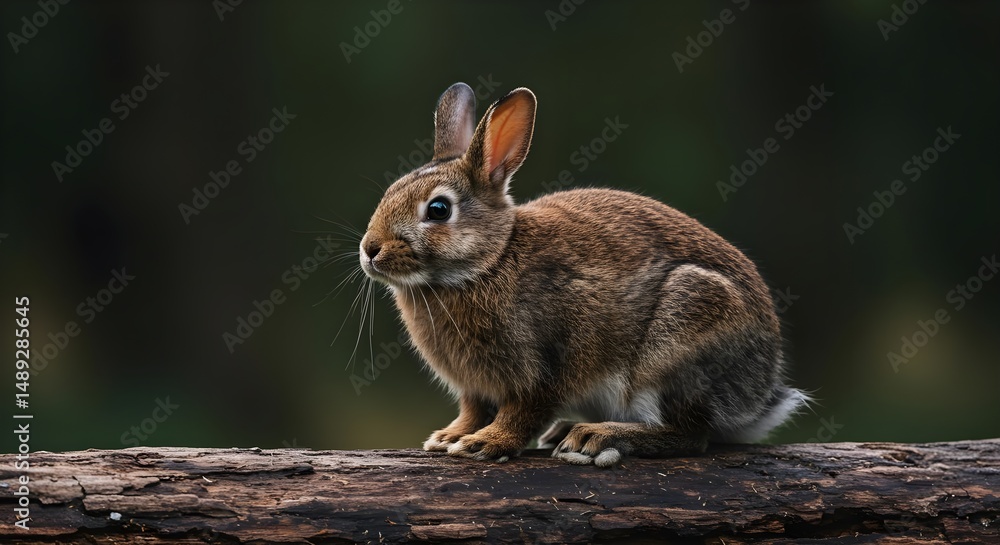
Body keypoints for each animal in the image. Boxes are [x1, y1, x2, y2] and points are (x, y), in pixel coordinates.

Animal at [359, 82, 809, 467]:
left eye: (438, 210)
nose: (369, 250)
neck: (489, 261)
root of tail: (760, 393)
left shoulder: (547, 365)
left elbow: (524, 411)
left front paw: (485, 443)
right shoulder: (474, 388)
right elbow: (472, 410)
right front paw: (450, 436)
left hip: (681, 334)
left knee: (690, 435)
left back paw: (597, 436)